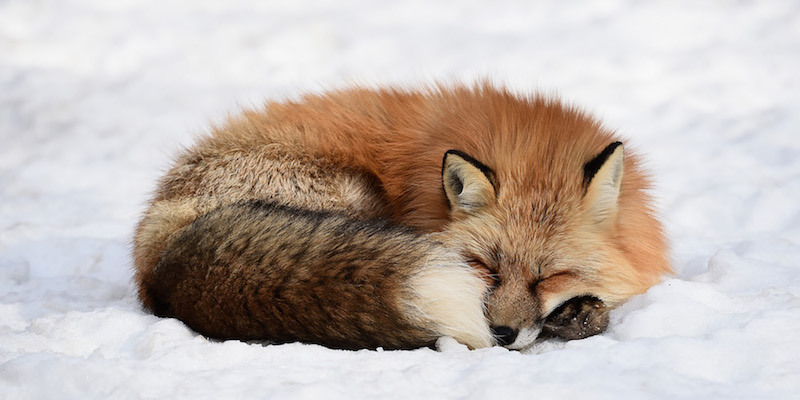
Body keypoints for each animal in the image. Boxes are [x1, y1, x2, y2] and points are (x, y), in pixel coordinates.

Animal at [134, 82, 672, 350]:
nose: (501, 334)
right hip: (356, 197)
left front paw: (580, 313)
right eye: (486, 267)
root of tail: (157, 257)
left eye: (550, 277)